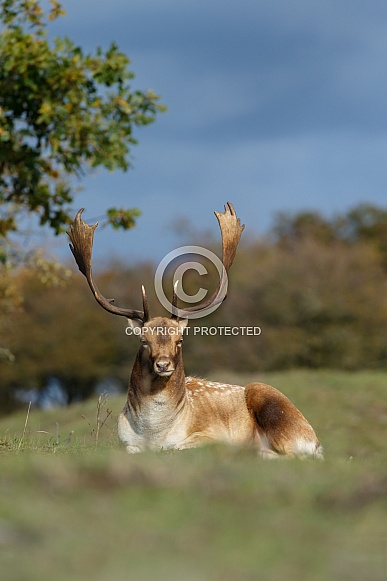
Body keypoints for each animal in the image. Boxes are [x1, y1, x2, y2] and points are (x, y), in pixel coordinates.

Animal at [68, 204, 322, 458]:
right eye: (143, 340)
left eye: (180, 340)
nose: (163, 364)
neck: (153, 435)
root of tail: (316, 442)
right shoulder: (124, 441)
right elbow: (133, 449)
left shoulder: (211, 435)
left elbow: (178, 446)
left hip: (272, 403)